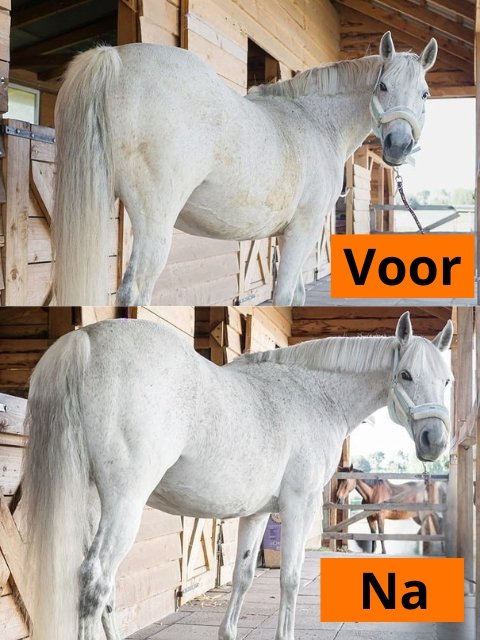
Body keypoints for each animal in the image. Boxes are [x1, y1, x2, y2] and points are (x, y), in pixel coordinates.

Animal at [22, 311, 452, 640]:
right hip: (124, 503)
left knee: (101, 589)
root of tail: (85, 339)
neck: (315, 395)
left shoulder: (258, 512)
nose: (434, 441)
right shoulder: (299, 505)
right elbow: (290, 578)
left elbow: (243, 574)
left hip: (92, 500)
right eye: (406, 375)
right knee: (96, 581)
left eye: (446, 380)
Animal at [52, 32, 437, 306]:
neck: (314, 121)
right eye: (383, 85)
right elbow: (283, 296)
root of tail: (114, 57)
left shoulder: (289, 234)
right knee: (135, 292)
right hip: (154, 221)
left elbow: (294, 296)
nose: (399, 146)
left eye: (424, 93)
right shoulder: (305, 229)